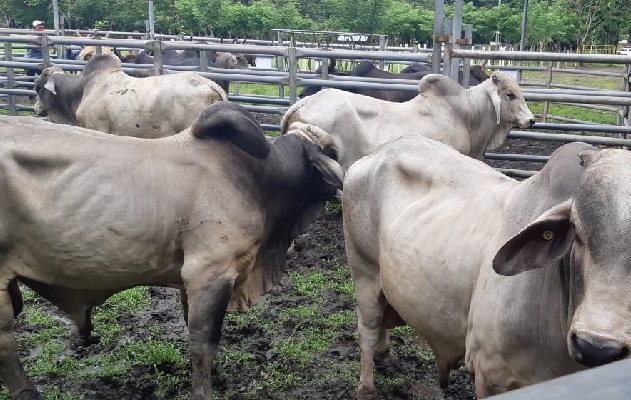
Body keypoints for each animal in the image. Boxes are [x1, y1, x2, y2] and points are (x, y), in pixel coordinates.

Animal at [0, 101, 346, 398]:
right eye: (332, 151)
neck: (257, 177)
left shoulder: (189, 280)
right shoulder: (209, 273)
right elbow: (203, 343)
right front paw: (203, 391)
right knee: (6, 347)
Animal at [344, 135, 631, 400]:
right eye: (577, 233)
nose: (596, 348)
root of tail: (380, 151)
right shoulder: (490, 372)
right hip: (364, 271)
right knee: (367, 327)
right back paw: (366, 387)